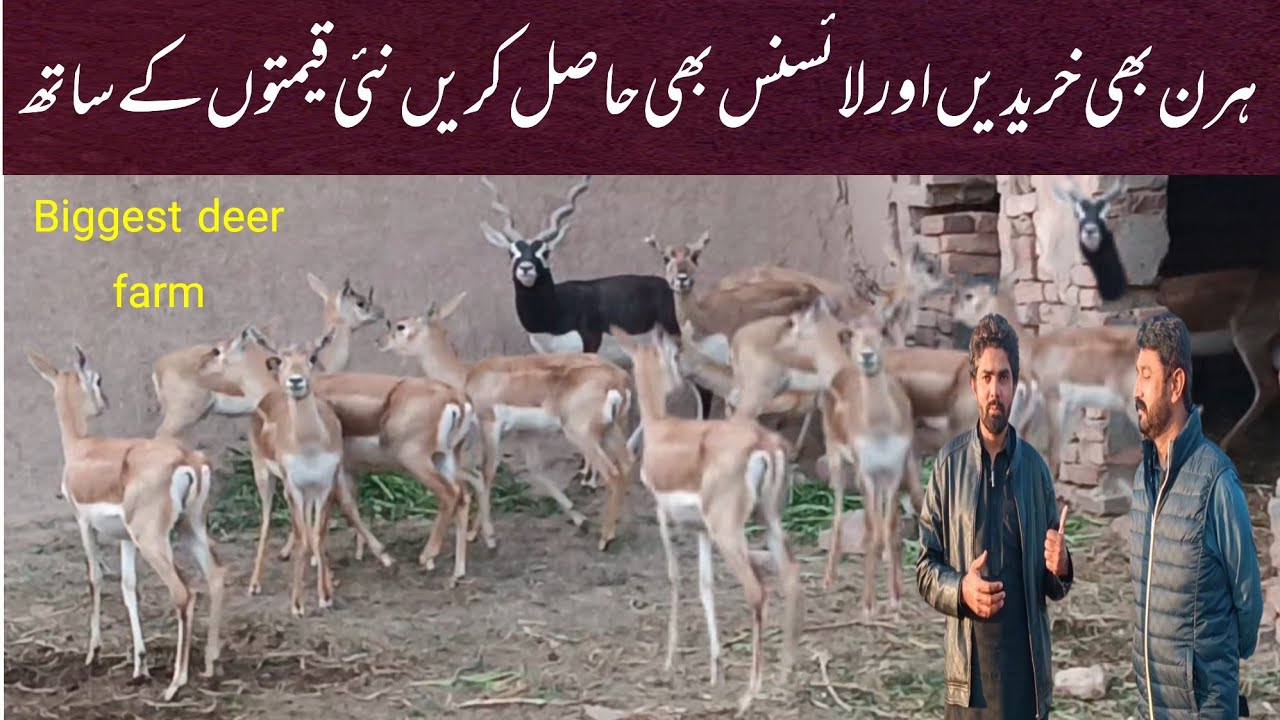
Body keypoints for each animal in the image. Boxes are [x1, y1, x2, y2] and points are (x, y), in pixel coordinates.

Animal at [26, 345, 226, 702]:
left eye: (98, 378)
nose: (104, 401)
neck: (82, 448)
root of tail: (186, 460)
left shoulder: (83, 523)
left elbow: (95, 578)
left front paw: (93, 654)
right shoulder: (125, 539)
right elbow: (129, 586)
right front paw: (140, 666)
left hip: (154, 540)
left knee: (184, 593)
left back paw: (176, 684)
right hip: (190, 528)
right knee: (215, 576)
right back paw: (210, 665)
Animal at [201, 327, 476, 585]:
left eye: (219, 351)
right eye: (281, 359)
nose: (295, 382)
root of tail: (456, 399)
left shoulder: (335, 468)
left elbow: (344, 506)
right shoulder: (345, 468)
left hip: (417, 461)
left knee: (450, 494)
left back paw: (427, 557)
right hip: (446, 457)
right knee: (463, 495)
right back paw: (458, 572)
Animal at [377, 291, 637, 551]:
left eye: (400, 326)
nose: (380, 342)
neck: (467, 375)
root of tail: (618, 379)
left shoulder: (489, 425)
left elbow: (487, 472)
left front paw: (480, 535)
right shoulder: (523, 432)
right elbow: (536, 469)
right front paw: (580, 519)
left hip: (581, 435)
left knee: (612, 473)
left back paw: (605, 537)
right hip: (612, 431)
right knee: (626, 465)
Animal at [479, 174, 715, 486]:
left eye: (545, 251)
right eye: (512, 252)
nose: (526, 268)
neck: (558, 310)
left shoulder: (589, 350)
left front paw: (590, 474)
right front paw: (584, 467)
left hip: (677, 351)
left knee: (700, 388)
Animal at [611, 324, 803, 716]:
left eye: (674, 354)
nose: (684, 383)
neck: (661, 428)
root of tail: (764, 445)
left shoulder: (662, 514)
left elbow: (674, 578)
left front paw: (670, 662)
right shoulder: (701, 529)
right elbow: (706, 585)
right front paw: (716, 668)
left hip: (729, 530)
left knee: (756, 589)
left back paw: (749, 695)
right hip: (769, 517)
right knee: (790, 573)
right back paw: (784, 675)